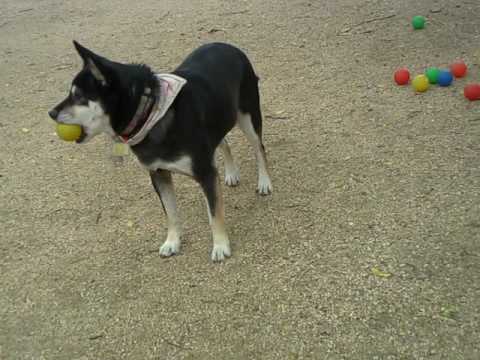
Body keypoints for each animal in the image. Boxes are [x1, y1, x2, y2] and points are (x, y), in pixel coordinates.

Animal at [49, 41, 274, 262]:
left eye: (78, 96)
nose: (51, 113)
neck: (150, 111)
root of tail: (228, 45)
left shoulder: (205, 172)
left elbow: (214, 214)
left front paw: (220, 246)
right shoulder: (158, 174)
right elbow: (171, 213)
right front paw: (172, 242)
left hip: (247, 117)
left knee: (259, 149)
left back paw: (264, 182)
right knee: (224, 142)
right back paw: (231, 173)